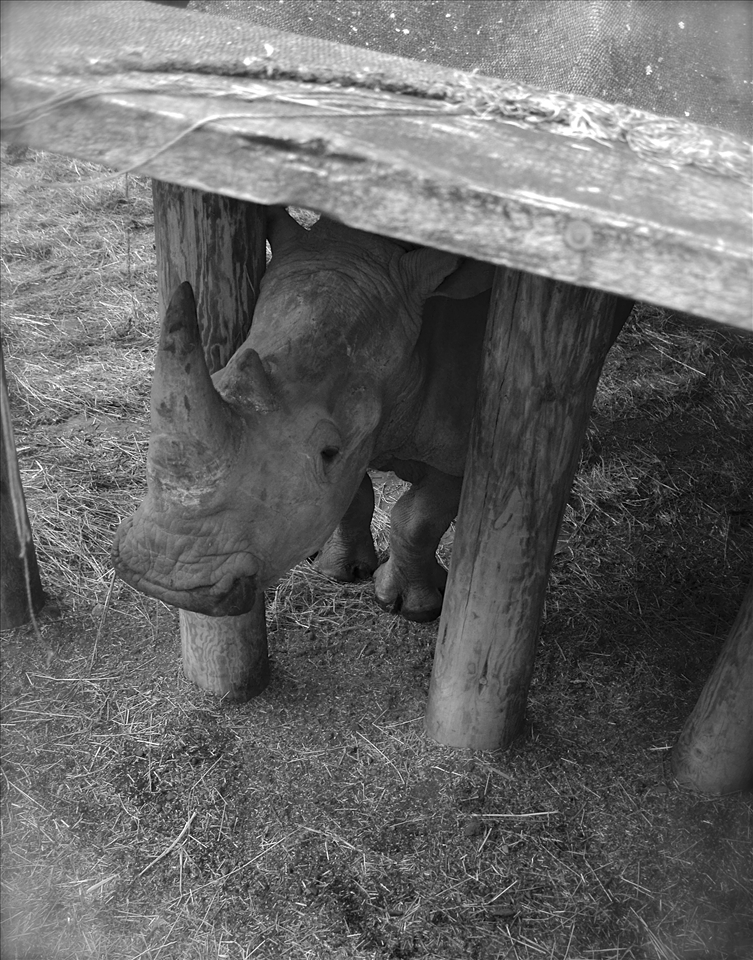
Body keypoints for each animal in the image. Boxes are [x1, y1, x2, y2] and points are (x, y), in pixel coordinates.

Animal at [112, 209, 496, 622]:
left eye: (329, 451)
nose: (164, 578)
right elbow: (351, 497)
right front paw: (339, 570)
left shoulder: (458, 449)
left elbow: (417, 519)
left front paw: (414, 608)